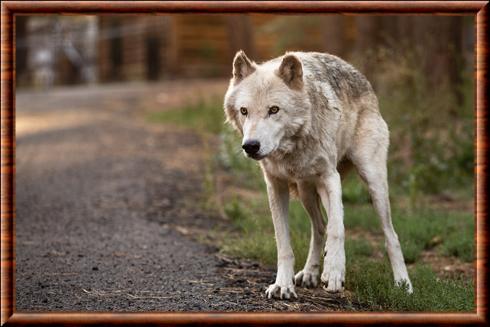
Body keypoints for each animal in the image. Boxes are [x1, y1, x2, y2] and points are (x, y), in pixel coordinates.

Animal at [223, 50, 414, 300]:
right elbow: (284, 244)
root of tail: (359, 74)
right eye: (244, 111)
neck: (291, 150)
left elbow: (338, 228)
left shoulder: (330, 178)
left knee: (390, 235)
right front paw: (283, 285)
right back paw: (310, 273)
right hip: (306, 191)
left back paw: (403, 284)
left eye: (274, 110)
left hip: (373, 182)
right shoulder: (275, 186)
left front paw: (334, 272)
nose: (251, 146)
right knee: (319, 226)